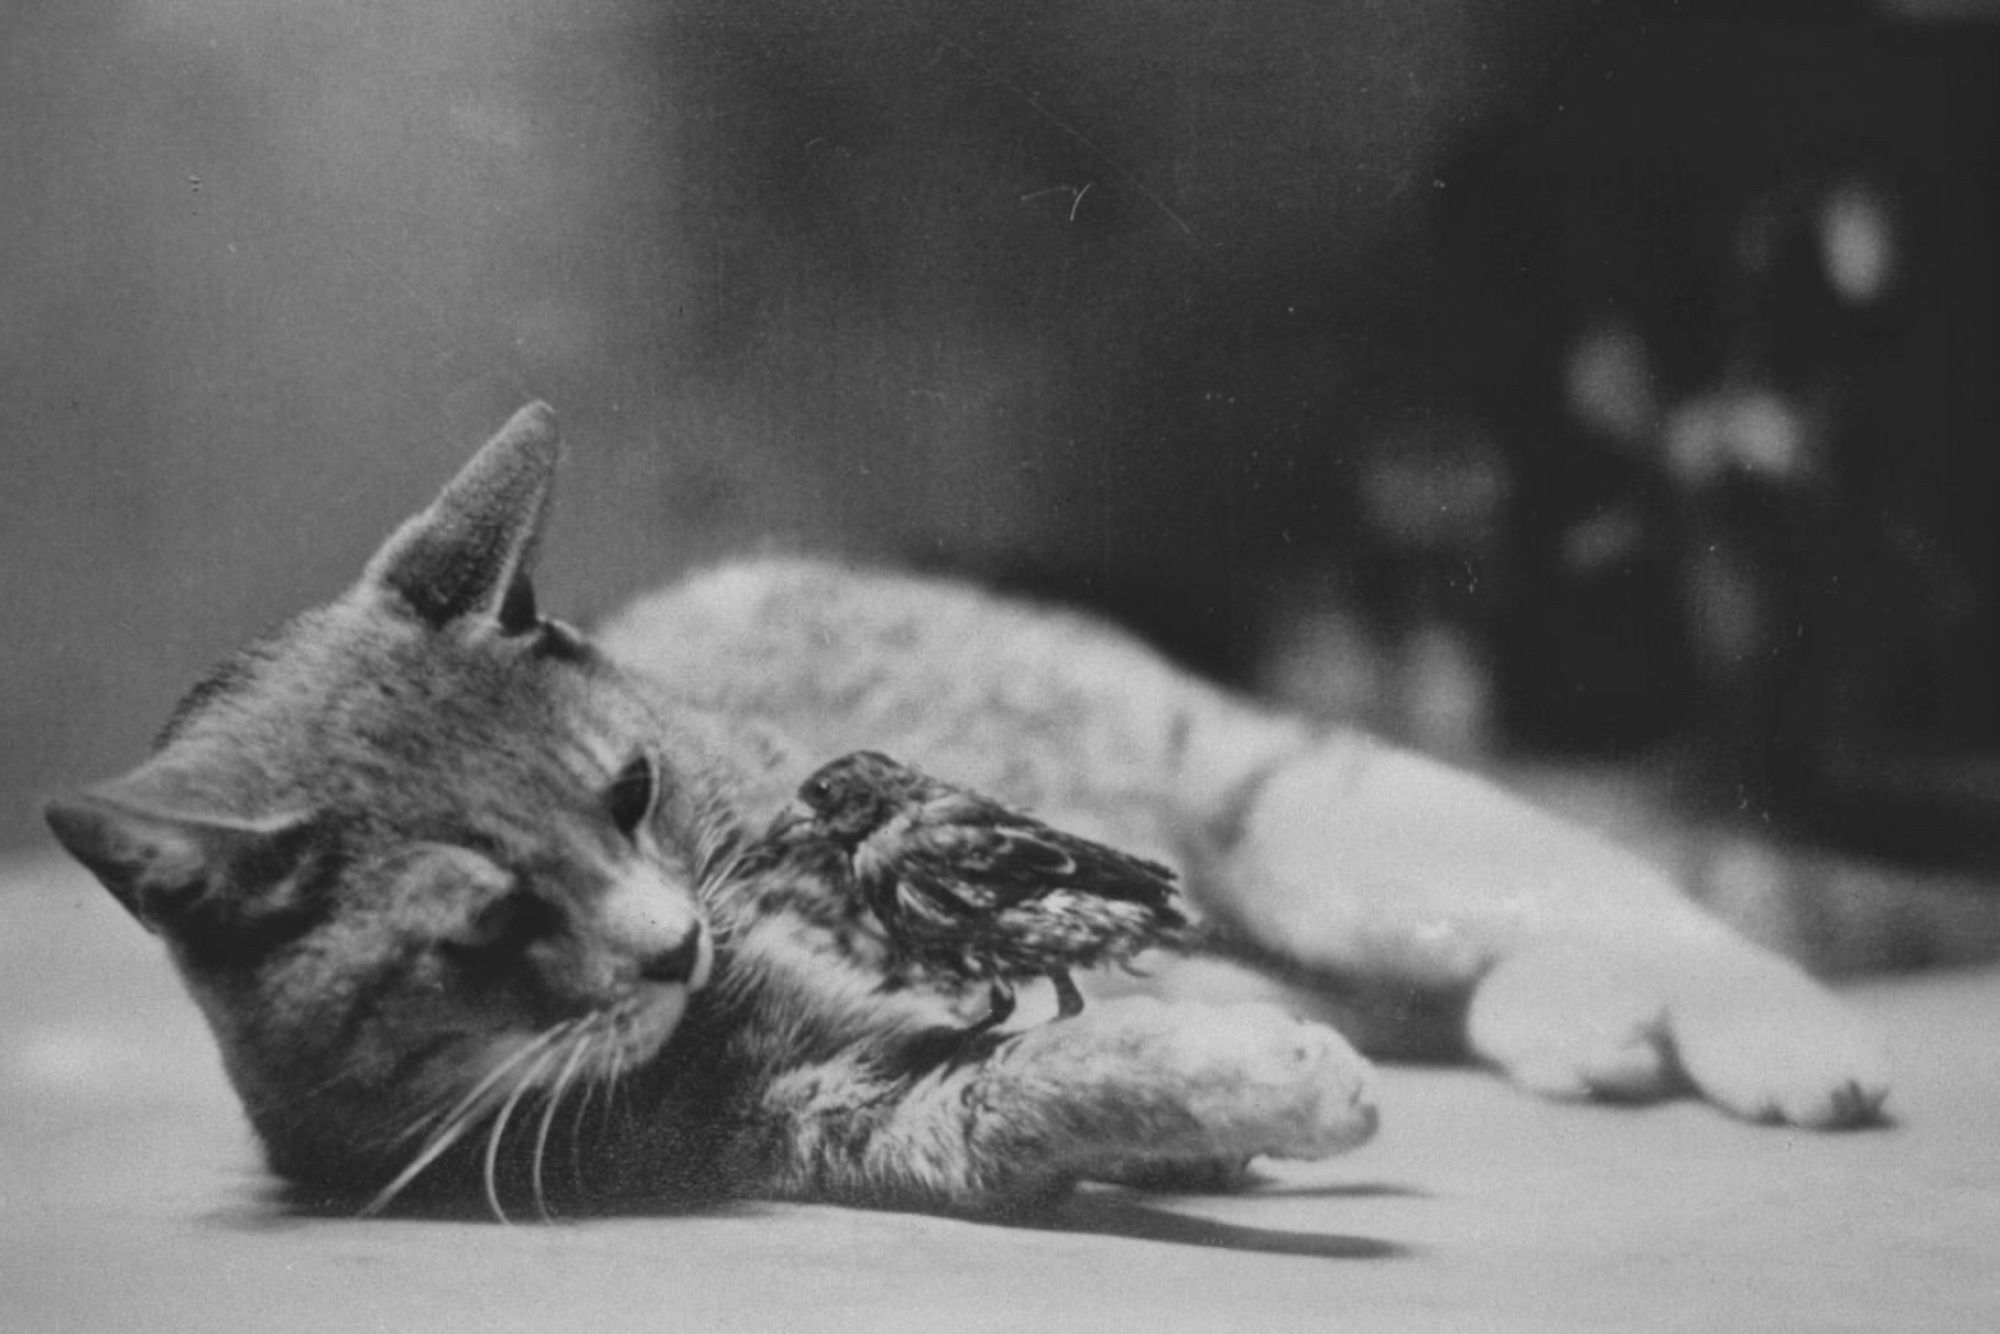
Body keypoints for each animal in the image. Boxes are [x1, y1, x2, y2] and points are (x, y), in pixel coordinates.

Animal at [47, 404, 1888, 1224]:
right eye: (493, 917)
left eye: (630, 792)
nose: (677, 942)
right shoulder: (837, 1103)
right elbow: (1034, 1083)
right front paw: (1207, 1093)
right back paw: (1567, 1029)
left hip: (1320, 823)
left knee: (1652, 906)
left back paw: (1789, 1042)